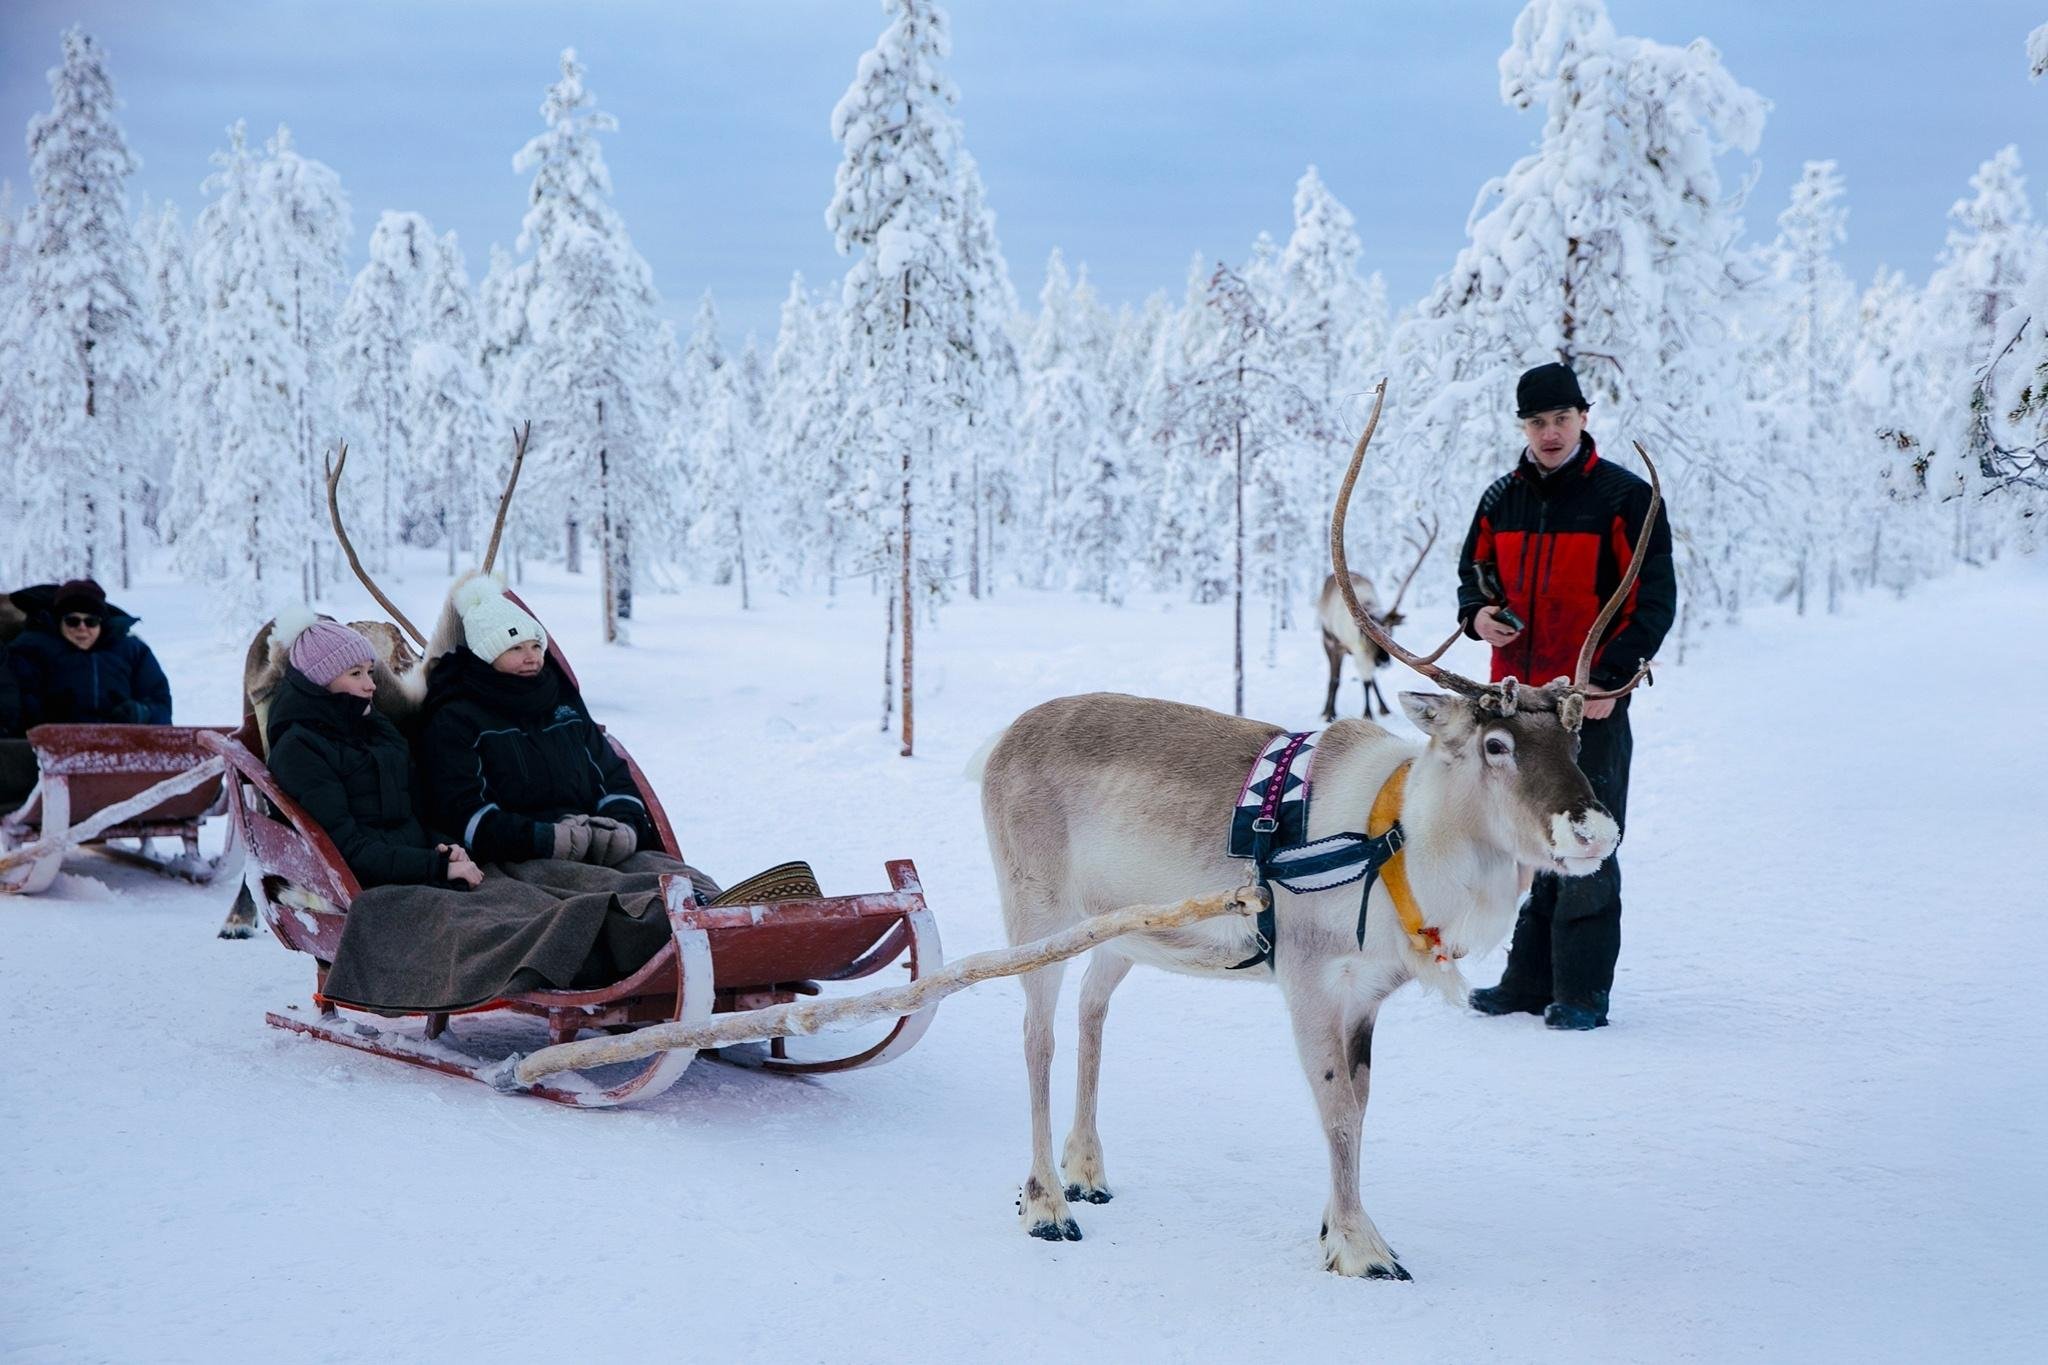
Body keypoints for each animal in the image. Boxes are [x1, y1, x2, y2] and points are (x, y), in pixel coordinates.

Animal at [1317, 516, 1436, 722]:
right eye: (1369, 636)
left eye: (1391, 633)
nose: (1384, 662)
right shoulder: (1351, 648)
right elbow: (1347, 679)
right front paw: (1360, 713)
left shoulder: (1365, 652)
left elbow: (1369, 680)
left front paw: (1376, 710)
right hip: (1329, 640)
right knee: (1334, 677)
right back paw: (1327, 710)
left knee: (1370, 678)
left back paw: (1383, 707)